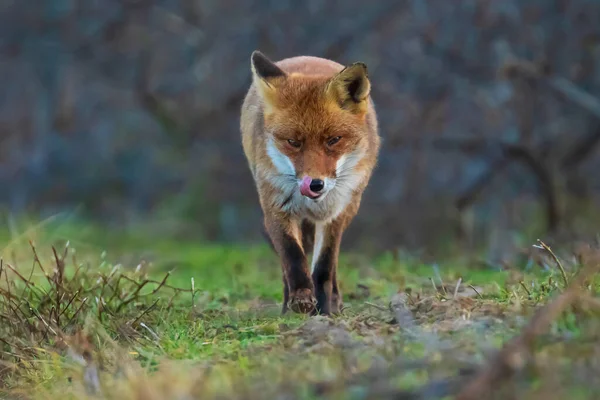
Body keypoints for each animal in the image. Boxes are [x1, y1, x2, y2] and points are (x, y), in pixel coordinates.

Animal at [239, 50, 380, 316]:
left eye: (334, 140)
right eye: (293, 142)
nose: (315, 185)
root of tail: (306, 57)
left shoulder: (336, 213)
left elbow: (325, 266)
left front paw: (324, 310)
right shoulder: (276, 208)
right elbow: (293, 257)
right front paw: (301, 299)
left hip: (350, 207)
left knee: (331, 268)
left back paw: (334, 302)